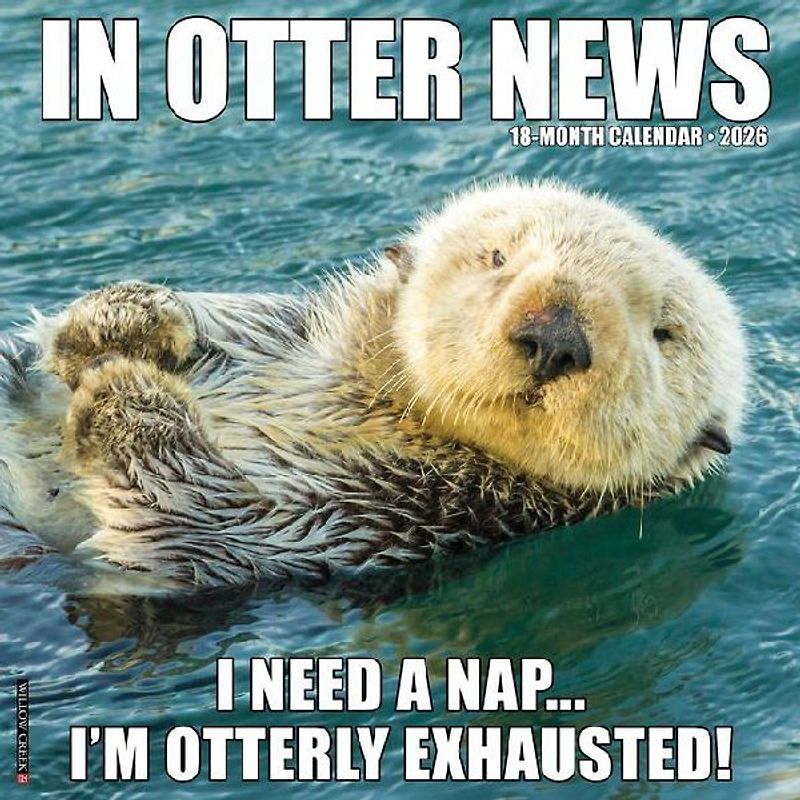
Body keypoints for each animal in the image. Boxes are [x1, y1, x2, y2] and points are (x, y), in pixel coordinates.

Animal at [0, 180, 747, 588]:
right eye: (497, 256)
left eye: (665, 333)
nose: (556, 336)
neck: (381, 408)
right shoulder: (274, 337)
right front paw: (125, 320)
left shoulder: (367, 519)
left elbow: (195, 514)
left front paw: (124, 395)